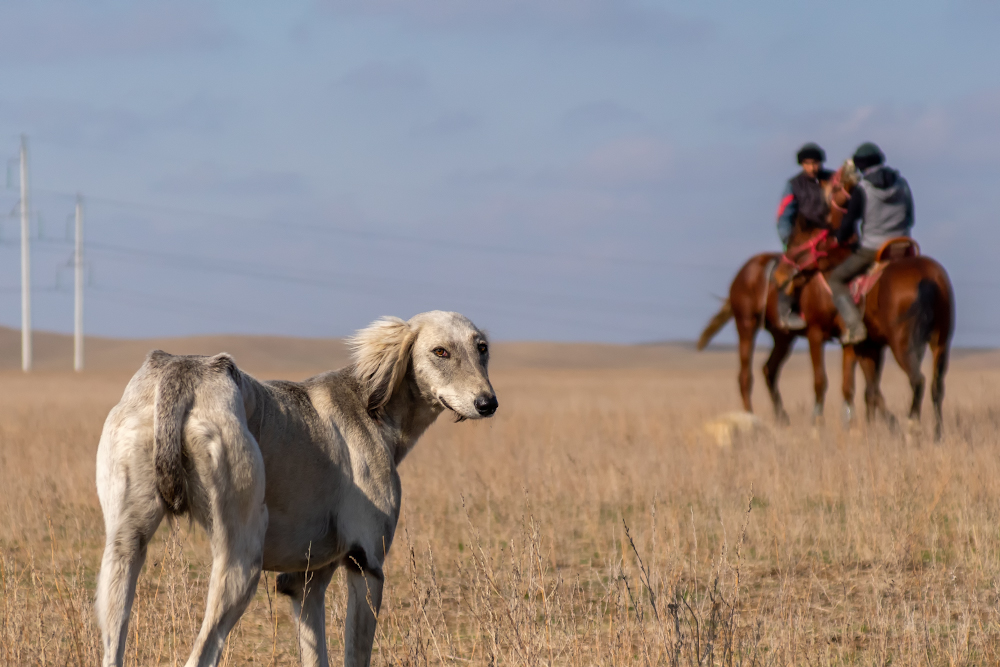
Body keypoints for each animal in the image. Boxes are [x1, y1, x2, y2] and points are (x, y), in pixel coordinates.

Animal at [97, 314, 496, 667]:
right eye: (440, 351)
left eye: (482, 348)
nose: (488, 403)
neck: (373, 408)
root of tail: (182, 370)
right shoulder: (366, 566)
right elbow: (356, 656)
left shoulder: (305, 583)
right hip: (242, 563)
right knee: (201, 654)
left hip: (123, 555)